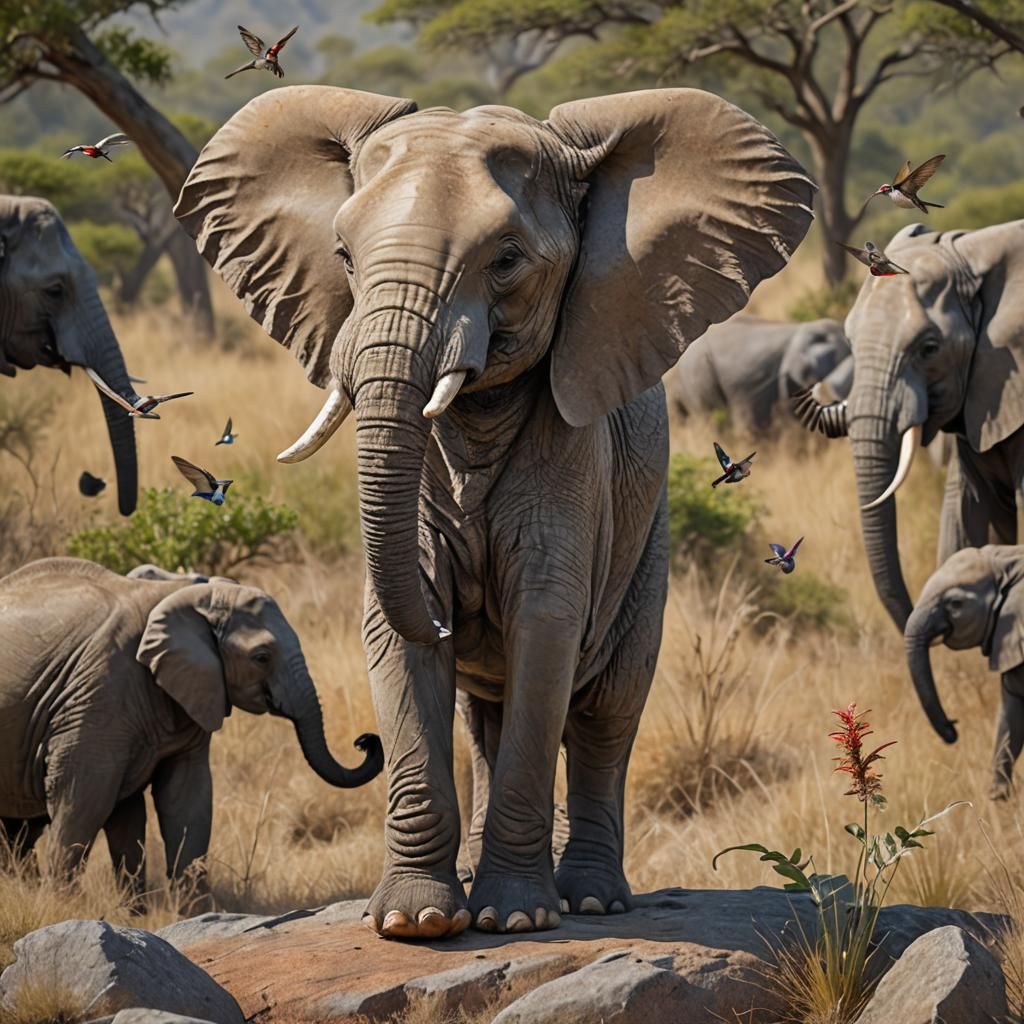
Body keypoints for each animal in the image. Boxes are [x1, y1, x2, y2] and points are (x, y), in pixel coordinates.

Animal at [0, 557, 383, 892]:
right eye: (261, 658)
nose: (364, 740)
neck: (185, 595)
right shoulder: (99, 693)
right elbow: (83, 798)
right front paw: (60, 906)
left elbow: (187, 798)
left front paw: (188, 912)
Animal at [175, 84, 813, 938]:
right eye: (344, 256)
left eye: (506, 261)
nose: (456, 618)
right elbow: (395, 631)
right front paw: (416, 922)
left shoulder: (577, 455)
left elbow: (546, 620)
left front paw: (514, 918)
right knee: (486, 717)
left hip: (650, 539)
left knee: (608, 709)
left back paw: (591, 897)